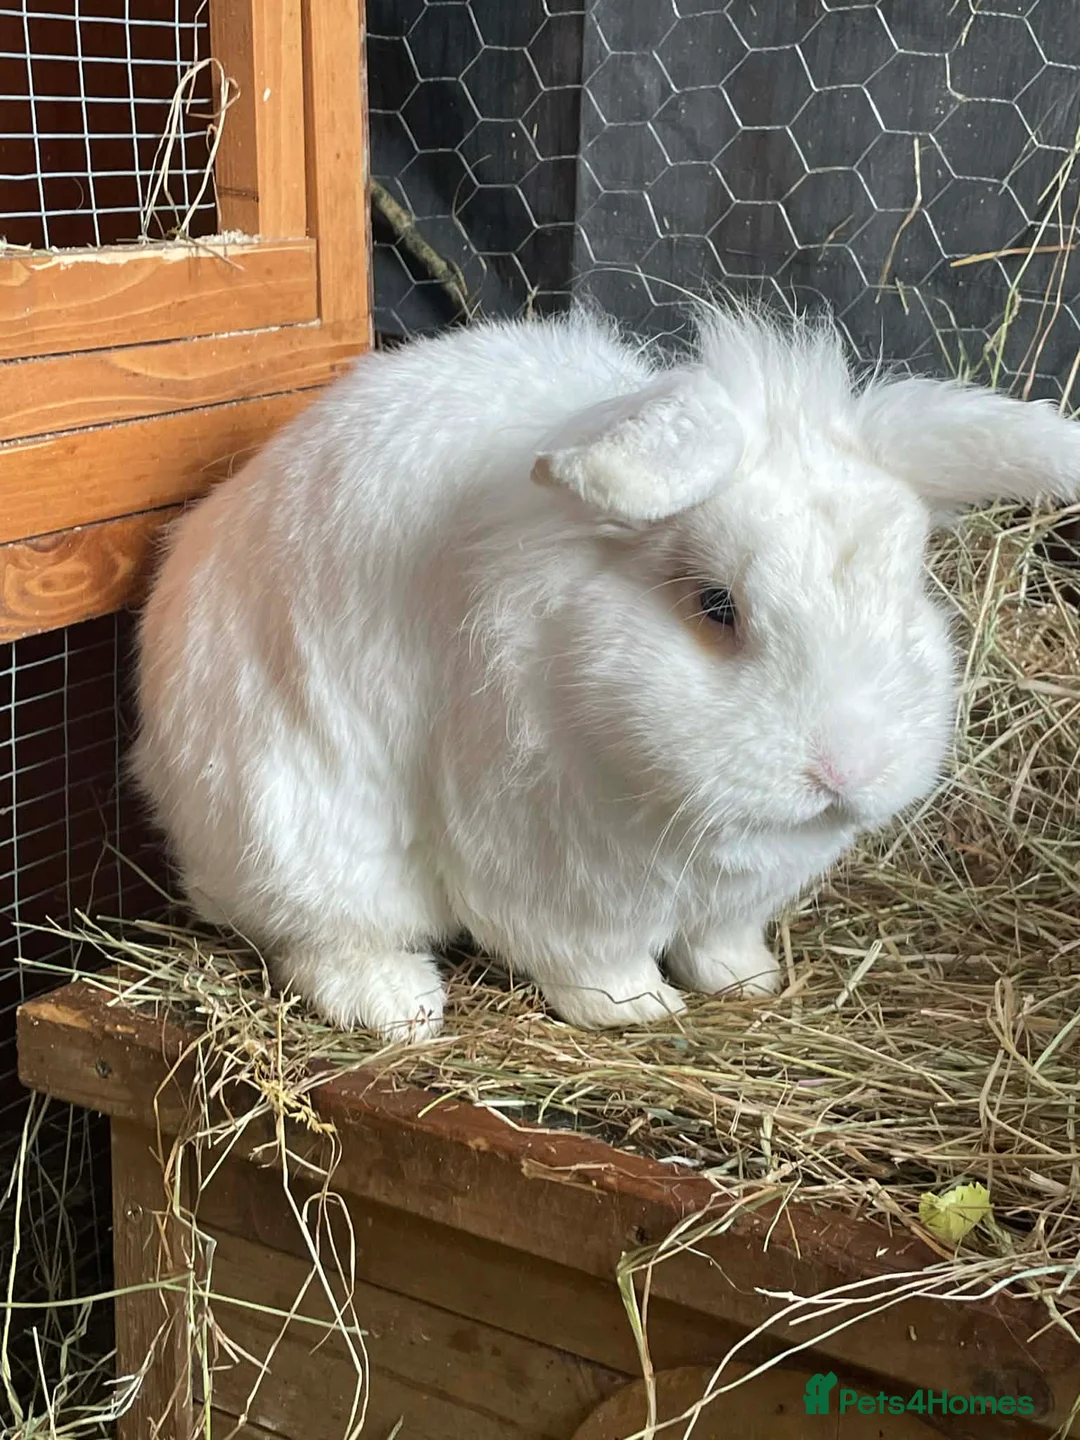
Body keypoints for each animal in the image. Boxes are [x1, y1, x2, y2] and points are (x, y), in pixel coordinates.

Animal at [132, 302, 1080, 1041]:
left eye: (907, 583)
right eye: (715, 604)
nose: (844, 771)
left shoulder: (733, 897)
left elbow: (721, 943)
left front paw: (750, 982)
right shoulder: (551, 866)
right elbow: (590, 959)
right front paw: (639, 1008)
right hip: (295, 833)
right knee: (310, 938)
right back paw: (400, 1003)